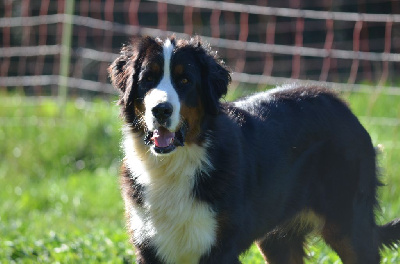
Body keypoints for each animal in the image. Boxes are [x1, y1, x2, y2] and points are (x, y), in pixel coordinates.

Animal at [108, 36, 400, 264]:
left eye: (185, 81)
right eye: (148, 79)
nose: (161, 110)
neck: (175, 164)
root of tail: (343, 105)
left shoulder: (220, 248)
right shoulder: (150, 245)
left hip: (349, 226)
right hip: (278, 241)